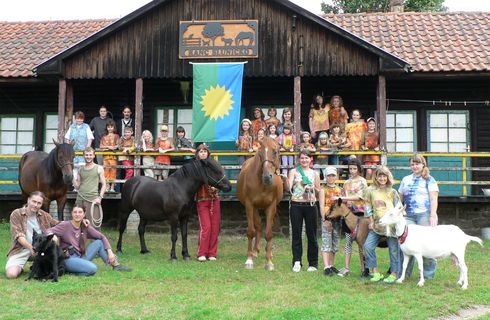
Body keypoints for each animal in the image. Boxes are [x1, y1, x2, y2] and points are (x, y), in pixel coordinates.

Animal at [237, 137, 284, 270]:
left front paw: (269, 262)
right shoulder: (249, 205)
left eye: (275, 151)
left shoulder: (271, 206)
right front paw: (249, 260)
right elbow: (251, 231)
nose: (267, 177)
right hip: (255, 209)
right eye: (260, 153)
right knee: (257, 226)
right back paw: (255, 251)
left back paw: (268, 252)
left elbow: (268, 233)